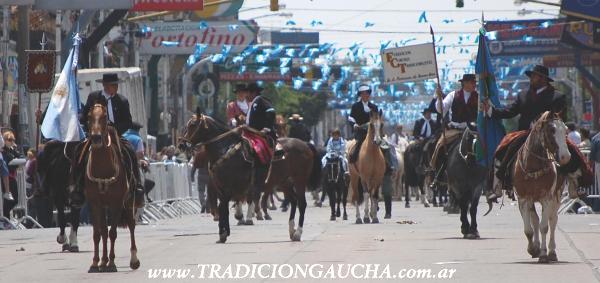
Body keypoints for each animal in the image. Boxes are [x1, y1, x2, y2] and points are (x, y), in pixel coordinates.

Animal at [82, 104, 139, 272]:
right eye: (88, 116)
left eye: (105, 117)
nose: (96, 138)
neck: (103, 168)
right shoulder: (95, 203)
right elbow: (98, 233)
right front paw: (96, 263)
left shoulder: (116, 203)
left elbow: (113, 232)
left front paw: (112, 263)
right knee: (103, 231)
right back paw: (103, 261)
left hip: (129, 201)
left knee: (131, 225)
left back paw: (133, 259)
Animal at [179, 113, 314, 244]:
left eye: (193, 124)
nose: (181, 144)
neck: (225, 149)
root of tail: (304, 145)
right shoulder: (222, 189)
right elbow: (225, 207)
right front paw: (225, 231)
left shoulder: (232, 188)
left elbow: (226, 208)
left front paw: (225, 232)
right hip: (284, 182)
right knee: (294, 201)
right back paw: (291, 230)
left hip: (299, 180)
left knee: (301, 203)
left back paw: (298, 233)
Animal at [510, 111, 572, 264]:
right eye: (552, 130)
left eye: (566, 130)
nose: (565, 157)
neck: (533, 167)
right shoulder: (523, 199)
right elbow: (529, 229)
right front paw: (533, 249)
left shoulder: (547, 198)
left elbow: (545, 227)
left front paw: (544, 254)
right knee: (535, 220)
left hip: (556, 197)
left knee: (553, 221)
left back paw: (552, 252)